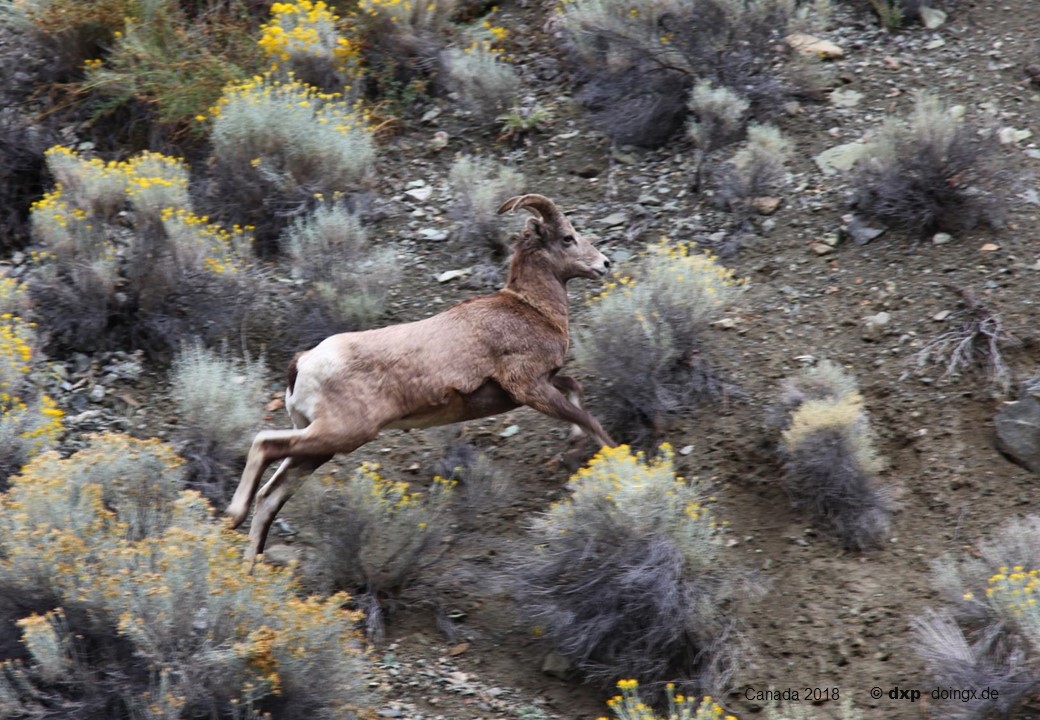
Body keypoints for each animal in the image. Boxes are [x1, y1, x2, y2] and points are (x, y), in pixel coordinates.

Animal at [226, 194, 618, 565]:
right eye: (567, 238)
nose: (605, 264)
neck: (532, 309)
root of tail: (303, 363)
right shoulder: (529, 388)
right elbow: (591, 421)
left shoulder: (541, 385)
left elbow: (576, 391)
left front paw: (574, 447)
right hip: (341, 433)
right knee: (264, 444)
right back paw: (233, 516)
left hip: (320, 447)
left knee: (271, 496)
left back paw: (250, 567)